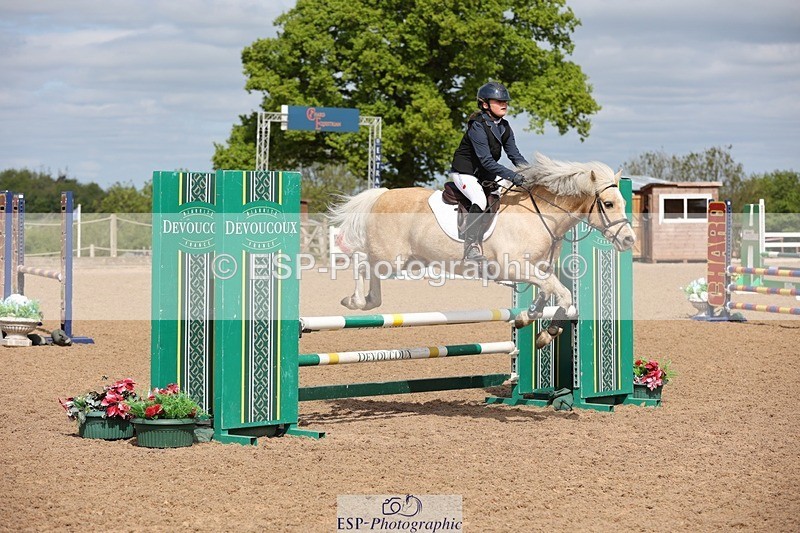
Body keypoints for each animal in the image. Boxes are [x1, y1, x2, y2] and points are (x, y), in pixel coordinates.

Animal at [328, 153, 635, 348]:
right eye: (608, 204)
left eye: (622, 202)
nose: (629, 240)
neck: (541, 216)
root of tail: (382, 194)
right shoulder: (513, 267)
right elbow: (561, 292)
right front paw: (547, 334)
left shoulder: (537, 268)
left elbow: (548, 289)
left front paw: (527, 318)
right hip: (391, 256)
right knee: (360, 260)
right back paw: (355, 301)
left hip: (405, 261)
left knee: (370, 271)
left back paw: (368, 301)